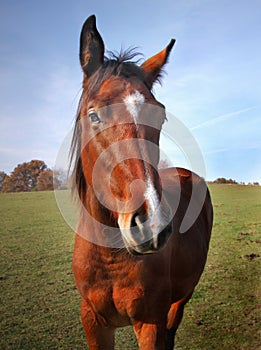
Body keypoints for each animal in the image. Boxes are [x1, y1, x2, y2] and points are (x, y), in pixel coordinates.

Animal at [70, 15, 211, 348]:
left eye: (160, 117)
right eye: (94, 116)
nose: (152, 225)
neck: (110, 257)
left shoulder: (150, 322)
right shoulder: (92, 321)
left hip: (181, 297)